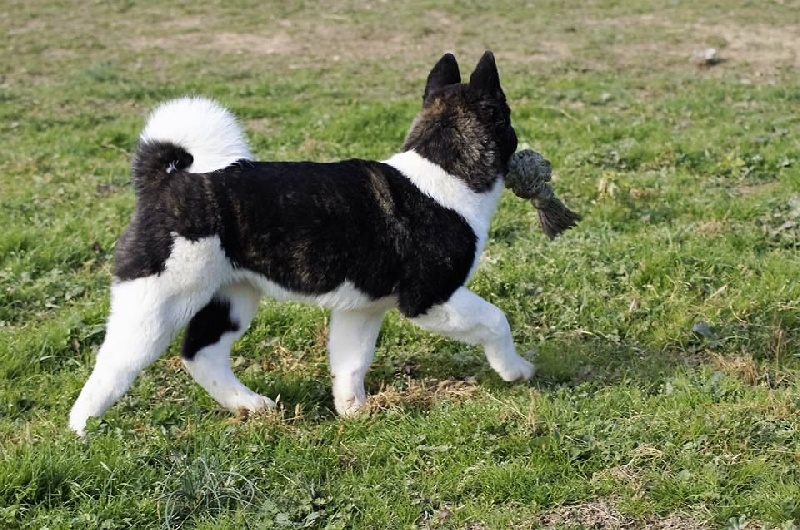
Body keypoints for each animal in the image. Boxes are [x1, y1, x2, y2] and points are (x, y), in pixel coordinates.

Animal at [69, 51, 534, 435]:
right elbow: (496, 320)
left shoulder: (361, 311)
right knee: (115, 362)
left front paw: (354, 413)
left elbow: (350, 364)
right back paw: (82, 429)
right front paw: (515, 370)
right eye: (509, 118)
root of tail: (163, 182)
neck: (443, 173)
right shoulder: (431, 298)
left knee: (202, 353)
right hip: (157, 302)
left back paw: (250, 405)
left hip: (232, 297)